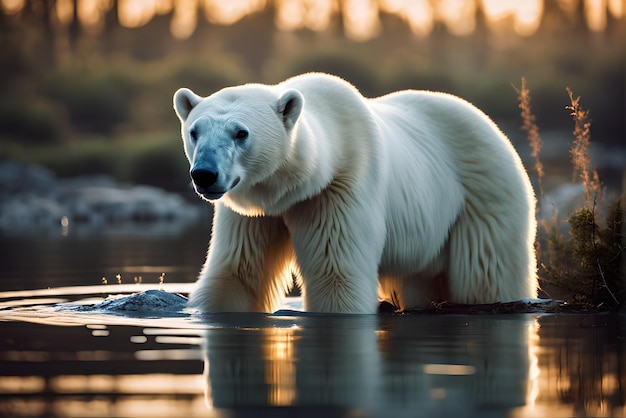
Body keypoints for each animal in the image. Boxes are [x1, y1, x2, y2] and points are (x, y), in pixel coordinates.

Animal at [172, 72, 536, 314]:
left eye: (241, 133)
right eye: (195, 131)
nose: (204, 174)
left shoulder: (339, 188)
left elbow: (336, 274)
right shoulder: (254, 213)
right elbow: (238, 271)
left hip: (483, 193)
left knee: (486, 272)